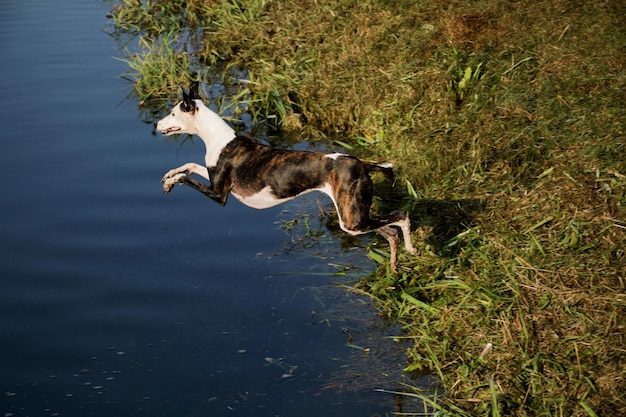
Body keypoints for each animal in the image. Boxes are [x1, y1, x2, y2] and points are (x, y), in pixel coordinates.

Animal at [155, 81, 414, 272]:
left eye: (173, 113)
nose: (157, 124)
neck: (218, 138)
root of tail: (362, 163)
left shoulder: (219, 195)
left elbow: (187, 178)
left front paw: (170, 182)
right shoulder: (213, 177)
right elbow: (190, 166)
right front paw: (168, 176)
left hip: (351, 221)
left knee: (401, 217)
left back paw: (412, 249)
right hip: (356, 216)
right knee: (391, 232)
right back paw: (394, 266)